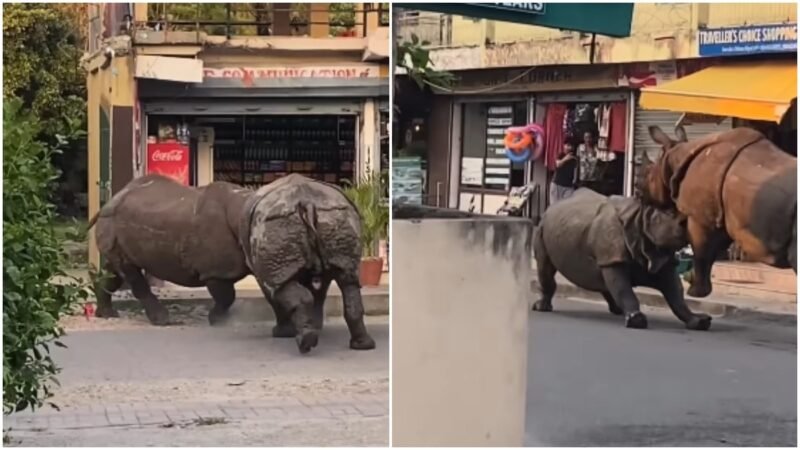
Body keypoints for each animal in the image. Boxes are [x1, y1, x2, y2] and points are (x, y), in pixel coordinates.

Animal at [533, 188, 712, 330]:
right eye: (669, 214)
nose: (689, 226)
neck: (641, 218)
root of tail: (552, 206)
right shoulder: (613, 258)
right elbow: (623, 288)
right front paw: (637, 320)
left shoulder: (661, 258)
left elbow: (676, 294)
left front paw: (700, 321)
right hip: (542, 227)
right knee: (545, 267)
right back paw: (541, 308)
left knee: (600, 278)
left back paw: (617, 311)